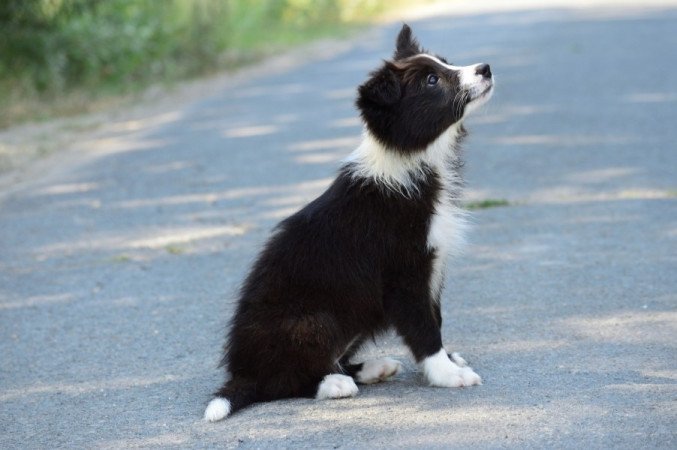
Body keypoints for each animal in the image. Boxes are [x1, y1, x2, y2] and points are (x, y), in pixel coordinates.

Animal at [203, 24, 494, 422]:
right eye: (432, 80)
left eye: (444, 63)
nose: (485, 68)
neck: (410, 159)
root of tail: (242, 373)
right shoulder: (405, 275)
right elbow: (424, 327)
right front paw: (447, 373)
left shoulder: (432, 267)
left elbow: (436, 318)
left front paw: (448, 361)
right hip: (313, 321)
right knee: (283, 381)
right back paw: (334, 384)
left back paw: (372, 368)